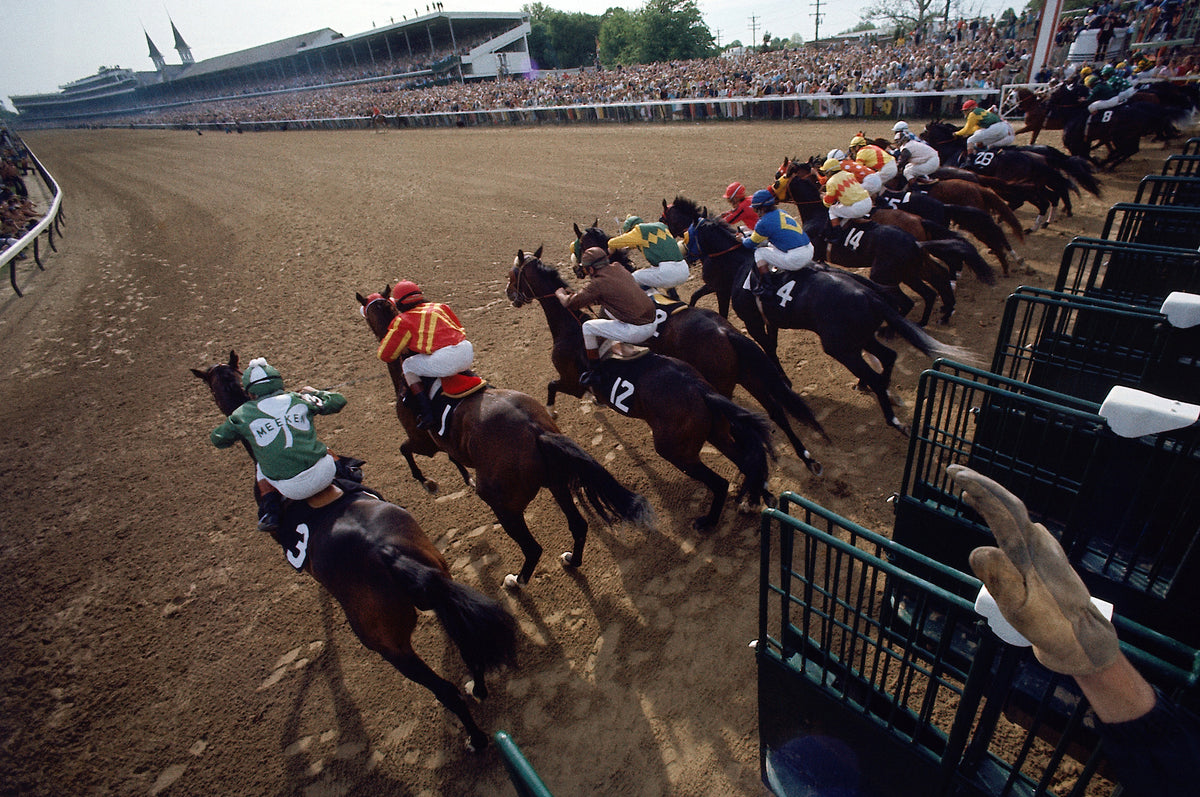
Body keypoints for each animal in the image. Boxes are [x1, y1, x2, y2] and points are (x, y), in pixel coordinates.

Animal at [193, 350, 520, 753]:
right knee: (465, 644)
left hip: (387, 644)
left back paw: (475, 737)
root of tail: (386, 553)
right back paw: (479, 686)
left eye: (211, 385)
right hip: (438, 580)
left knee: (445, 691)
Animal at [357, 286, 657, 585]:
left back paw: (516, 580)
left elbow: (405, 450)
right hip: (556, 482)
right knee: (578, 525)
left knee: (533, 548)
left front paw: (427, 481)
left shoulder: (423, 441)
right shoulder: (444, 443)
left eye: (368, 312)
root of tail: (535, 431)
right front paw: (461, 476)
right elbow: (451, 458)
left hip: (503, 503)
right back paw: (571, 560)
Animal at [506, 250, 777, 528]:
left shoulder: (570, 382)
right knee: (747, 460)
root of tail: (702, 390)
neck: (569, 327)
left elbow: (551, 386)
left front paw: (551, 410)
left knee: (720, 482)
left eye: (513, 275)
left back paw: (708, 521)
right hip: (718, 433)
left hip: (676, 450)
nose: (510, 294)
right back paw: (752, 500)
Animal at [686, 214, 974, 432]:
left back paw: (890, 416)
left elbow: (768, 350)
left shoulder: (753, 321)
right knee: (888, 357)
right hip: (860, 337)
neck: (741, 265)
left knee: (877, 369)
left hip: (840, 346)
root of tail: (869, 295)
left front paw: (783, 381)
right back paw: (872, 386)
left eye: (688, 235)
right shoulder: (771, 319)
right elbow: (772, 347)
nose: (689, 257)